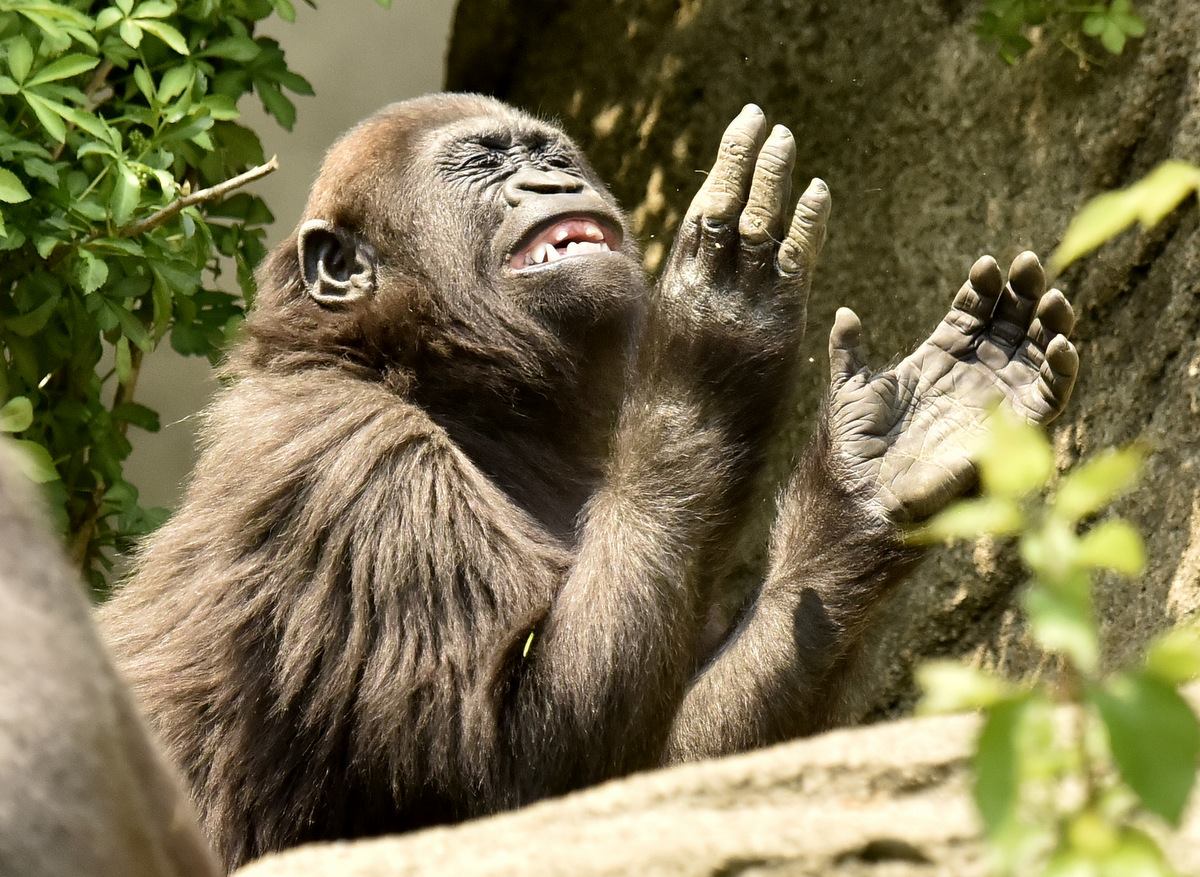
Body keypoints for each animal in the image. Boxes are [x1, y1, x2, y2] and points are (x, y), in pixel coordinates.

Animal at [100, 92, 1080, 868]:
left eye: (553, 156)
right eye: (483, 164)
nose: (550, 185)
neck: (420, 369)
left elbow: (665, 784)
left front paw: (868, 481)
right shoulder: (348, 461)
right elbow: (522, 768)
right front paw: (715, 334)